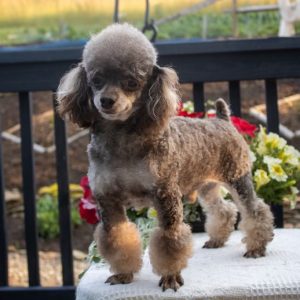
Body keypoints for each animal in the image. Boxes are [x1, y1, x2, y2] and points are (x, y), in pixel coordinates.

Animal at [56, 24, 274, 292]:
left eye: (132, 82)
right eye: (96, 80)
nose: (106, 100)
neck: (122, 142)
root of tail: (223, 120)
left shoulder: (165, 195)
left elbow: (170, 240)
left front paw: (170, 277)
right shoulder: (108, 201)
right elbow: (117, 237)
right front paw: (123, 273)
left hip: (238, 178)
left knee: (255, 209)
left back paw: (257, 246)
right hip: (207, 186)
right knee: (223, 210)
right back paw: (217, 239)